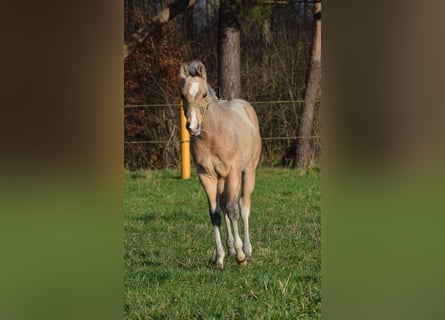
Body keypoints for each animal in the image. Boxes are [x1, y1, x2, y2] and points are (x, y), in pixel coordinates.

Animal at [177, 60, 260, 270]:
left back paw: (247, 250)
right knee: (223, 206)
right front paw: (220, 258)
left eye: (204, 94)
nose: (193, 126)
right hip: (222, 180)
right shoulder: (207, 176)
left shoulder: (233, 174)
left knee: (243, 205)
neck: (214, 136)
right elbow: (215, 214)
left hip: (248, 171)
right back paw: (230, 250)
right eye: (182, 95)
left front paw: (240, 256)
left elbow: (233, 210)